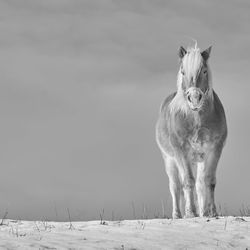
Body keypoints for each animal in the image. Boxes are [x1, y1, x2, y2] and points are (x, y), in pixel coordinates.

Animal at [156, 44, 229, 218]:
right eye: (183, 71)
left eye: (204, 70)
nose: (194, 98)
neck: (196, 118)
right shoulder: (181, 151)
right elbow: (187, 181)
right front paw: (191, 213)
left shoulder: (214, 149)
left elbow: (208, 180)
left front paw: (211, 212)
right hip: (169, 159)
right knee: (175, 186)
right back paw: (177, 215)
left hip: (199, 159)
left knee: (200, 183)